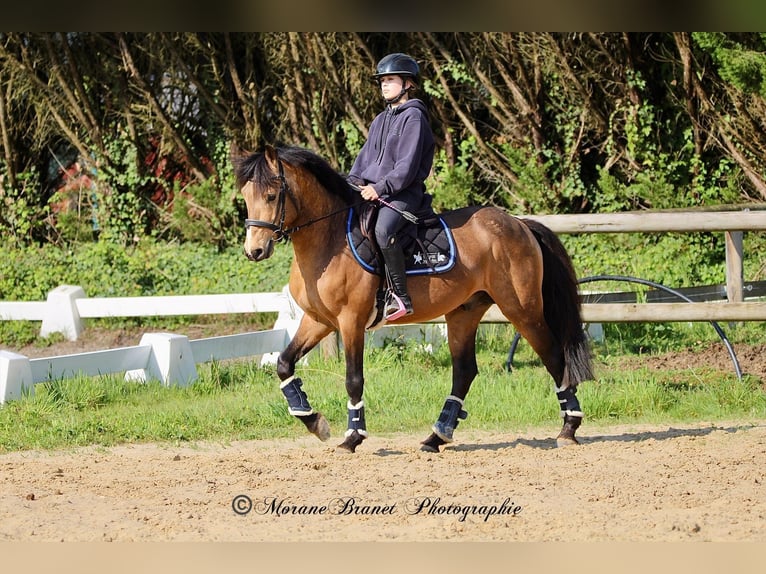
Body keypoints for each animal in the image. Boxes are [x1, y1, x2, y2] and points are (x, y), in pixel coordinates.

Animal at [234, 144, 594, 453]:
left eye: (271, 195)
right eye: (246, 197)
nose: (254, 251)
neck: (331, 239)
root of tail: (519, 224)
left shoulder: (351, 322)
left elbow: (353, 380)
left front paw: (352, 437)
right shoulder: (319, 321)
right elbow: (284, 364)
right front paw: (314, 422)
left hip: (522, 310)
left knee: (553, 356)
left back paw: (568, 429)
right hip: (464, 312)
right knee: (464, 372)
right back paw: (436, 437)